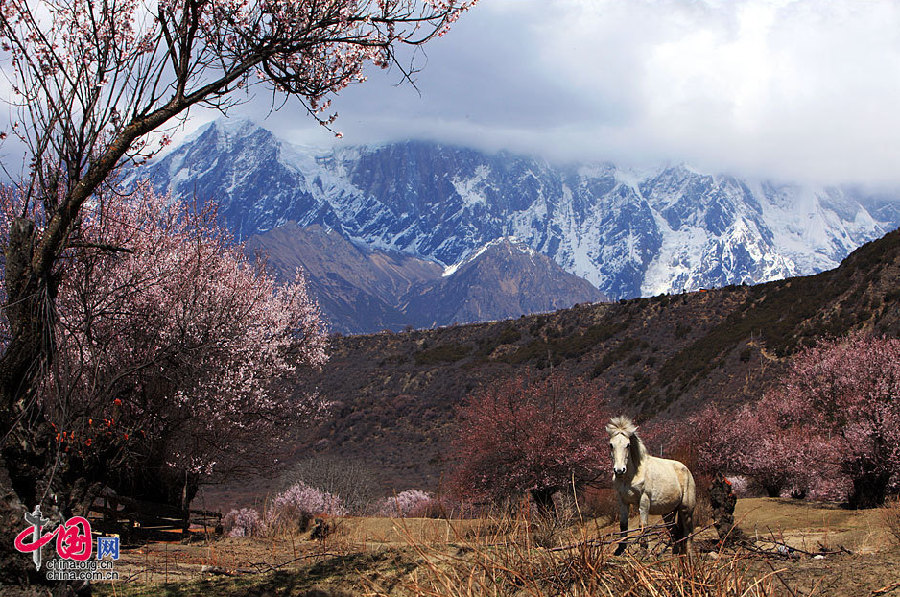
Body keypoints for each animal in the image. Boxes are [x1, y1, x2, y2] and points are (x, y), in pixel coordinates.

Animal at [604, 414, 696, 556]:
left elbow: (643, 525)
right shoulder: (623, 501)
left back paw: (689, 554)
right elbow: (623, 525)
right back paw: (675, 554)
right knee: (674, 531)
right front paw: (620, 549)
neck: (631, 476)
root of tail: (687, 470)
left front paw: (643, 550)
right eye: (611, 445)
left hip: (686, 510)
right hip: (668, 512)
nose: (619, 470)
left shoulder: (644, 501)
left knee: (688, 532)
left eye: (628, 445)